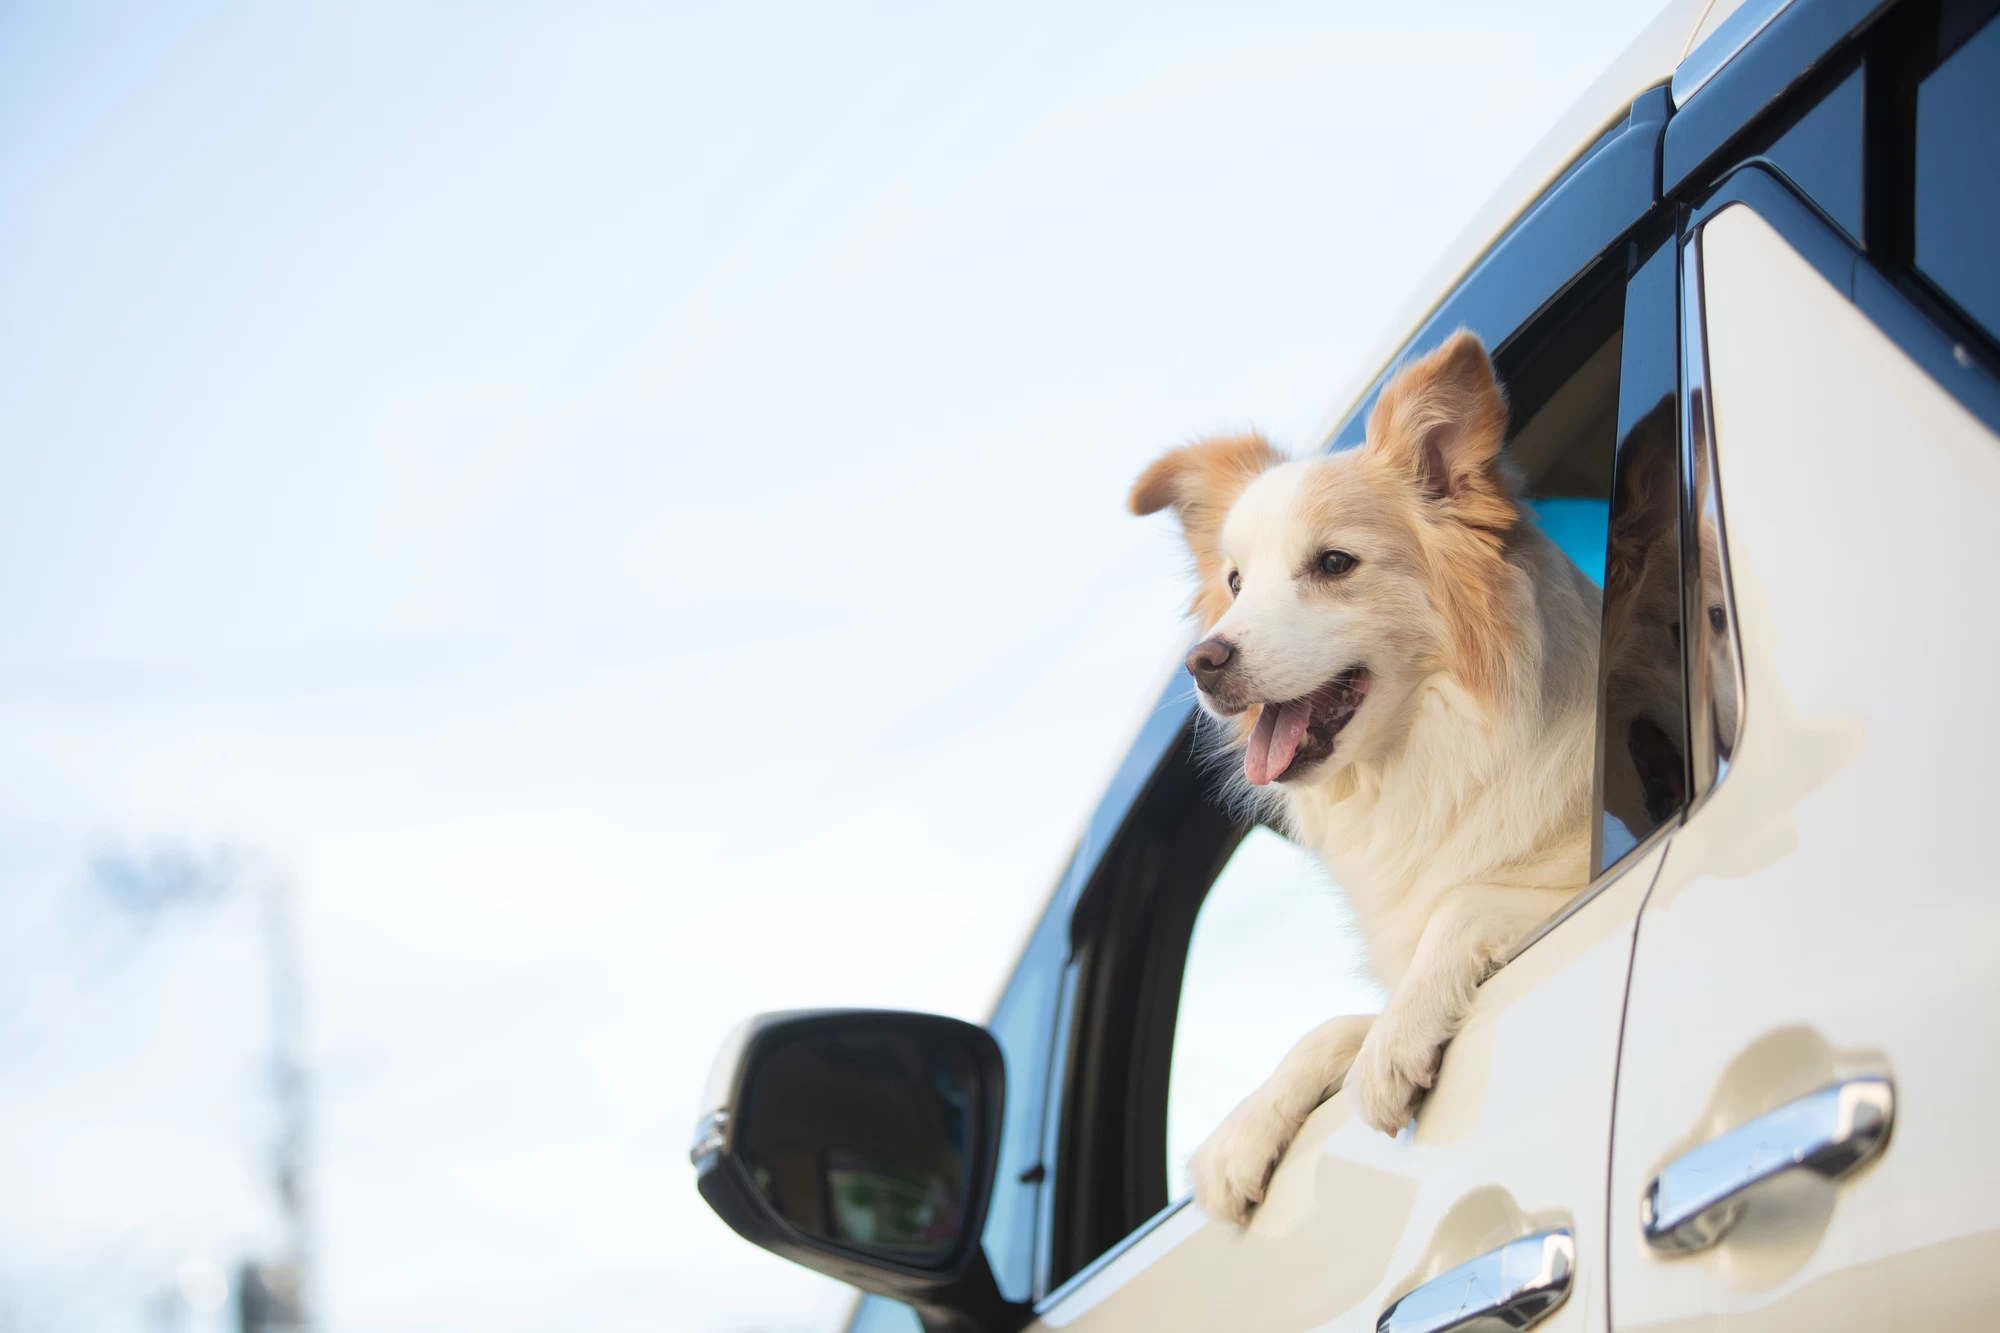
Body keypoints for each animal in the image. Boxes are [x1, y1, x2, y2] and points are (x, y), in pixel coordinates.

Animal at [1136, 330, 1600, 1216]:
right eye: (1236, 583)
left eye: (1334, 563)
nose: (1201, 662)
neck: (1429, 761)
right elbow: (1330, 1026)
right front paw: (1245, 1129)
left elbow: (1466, 899)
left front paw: (1399, 1037)